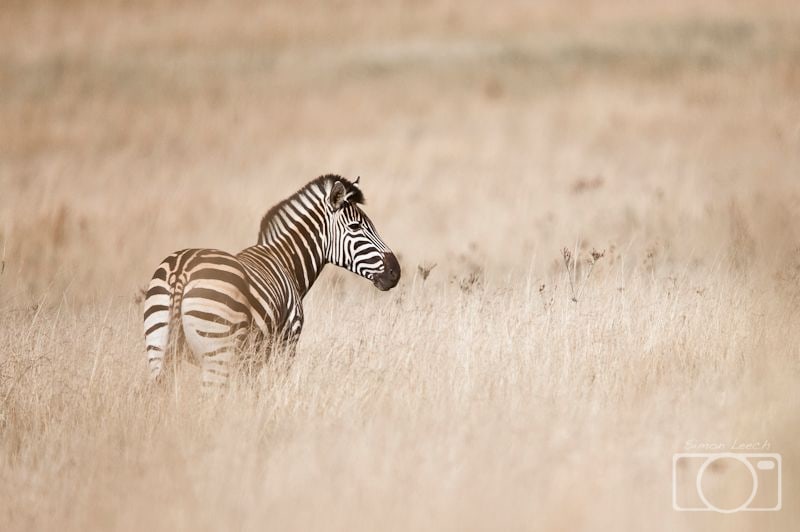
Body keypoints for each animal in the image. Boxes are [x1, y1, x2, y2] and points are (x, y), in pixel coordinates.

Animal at [142, 174, 400, 388]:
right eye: (355, 227)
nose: (395, 272)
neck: (285, 260)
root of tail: (181, 272)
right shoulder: (285, 343)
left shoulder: (249, 360)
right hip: (217, 350)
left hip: (157, 347)